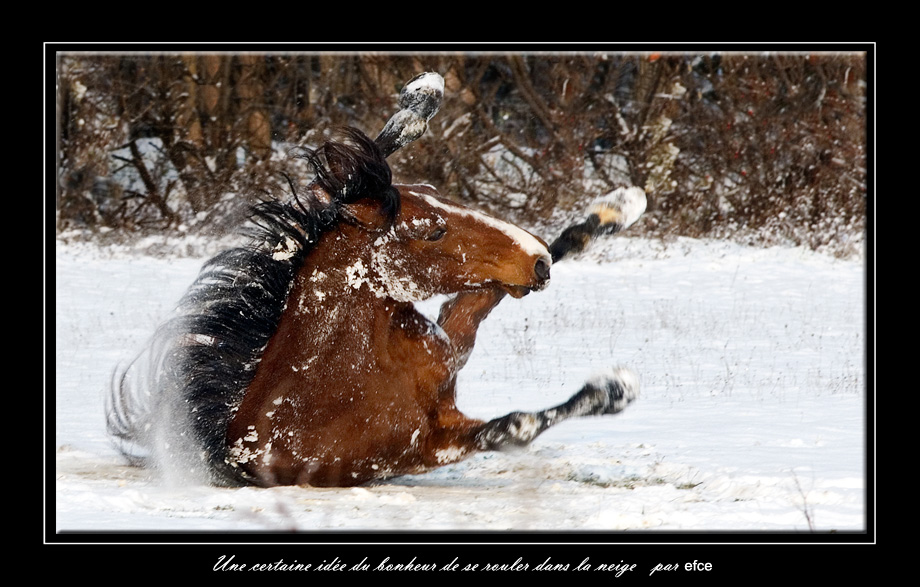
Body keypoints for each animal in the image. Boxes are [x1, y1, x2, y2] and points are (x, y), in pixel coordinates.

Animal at [106, 77, 640, 486]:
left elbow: (481, 298)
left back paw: (423, 98)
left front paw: (610, 212)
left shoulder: (446, 354)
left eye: (439, 194)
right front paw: (615, 388)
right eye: (433, 230)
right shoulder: (424, 444)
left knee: (346, 179)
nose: (538, 262)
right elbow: (516, 425)